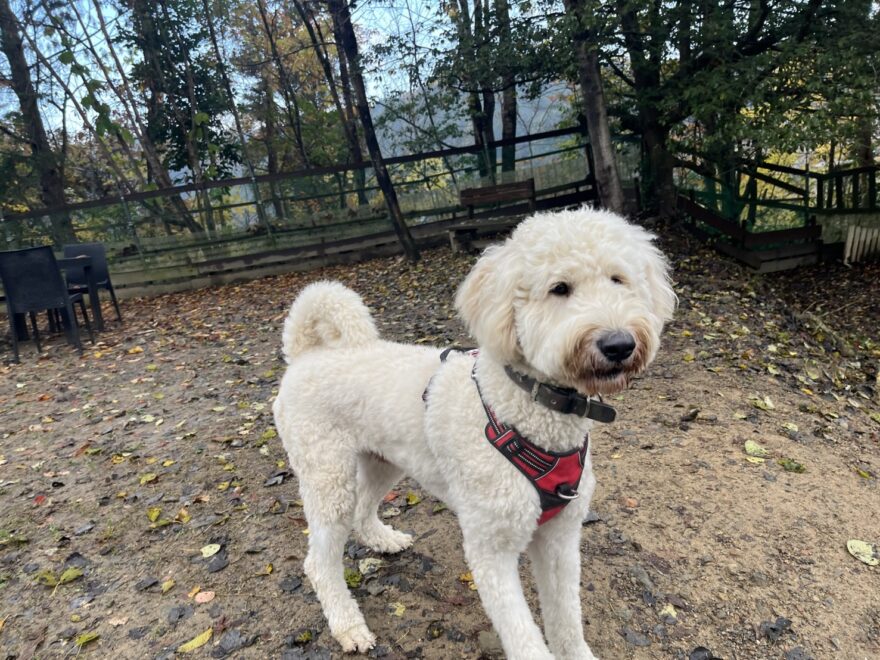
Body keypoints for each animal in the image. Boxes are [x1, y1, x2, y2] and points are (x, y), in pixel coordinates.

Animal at [272, 207, 675, 659]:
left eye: (618, 279)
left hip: (382, 461)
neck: (525, 408)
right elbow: (524, 638)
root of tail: (306, 353)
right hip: (327, 476)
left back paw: (383, 539)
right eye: (559, 288)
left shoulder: (560, 539)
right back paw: (348, 625)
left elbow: (567, 620)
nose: (619, 344)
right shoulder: (491, 548)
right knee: (319, 560)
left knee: (363, 508)